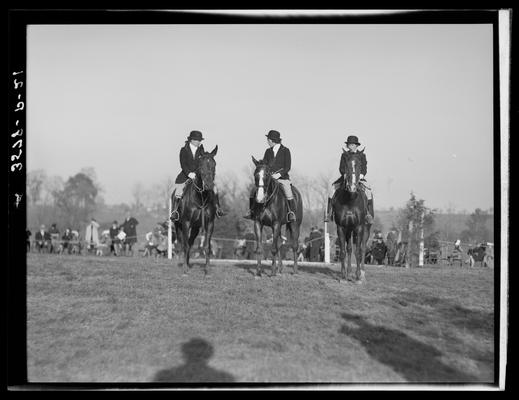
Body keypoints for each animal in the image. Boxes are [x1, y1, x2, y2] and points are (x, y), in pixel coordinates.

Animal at [172, 146, 218, 276]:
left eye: (214, 164)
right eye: (200, 165)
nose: (209, 185)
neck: (201, 197)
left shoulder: (209, 224)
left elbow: (207, 246)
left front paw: (207, 270)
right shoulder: (186, 223)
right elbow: (185, 245)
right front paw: (185, 269)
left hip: (196, 227)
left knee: (190, 242)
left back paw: (187, 263)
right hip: (178, 225)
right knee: (182, 243)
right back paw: (182, 264)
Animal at [336, 148, 372, 282]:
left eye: (359, 165)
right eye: (346, 165)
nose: (352, 187)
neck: (350, 199)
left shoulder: (359, 227)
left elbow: (358, 251)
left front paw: (358, 276)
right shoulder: (341, 227)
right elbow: (343, 251)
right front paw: (344, 275)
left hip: (365, 229)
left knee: (362, 248)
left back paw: (362, 273)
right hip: (349, 230)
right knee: (349, 249)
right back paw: (349, 272)